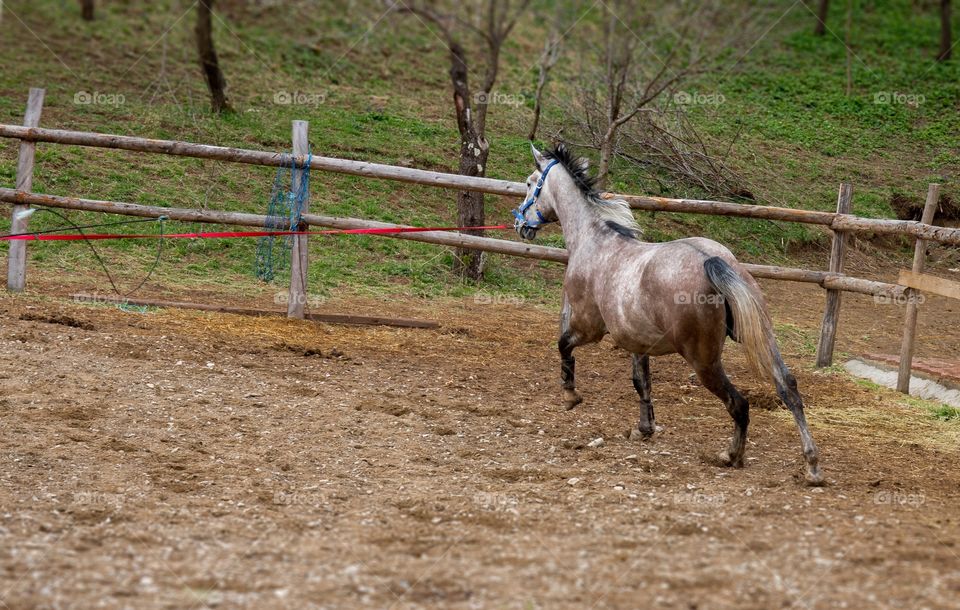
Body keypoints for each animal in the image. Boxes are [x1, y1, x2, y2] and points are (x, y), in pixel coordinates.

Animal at [512, 144, 823, 485]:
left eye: (529, 183)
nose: (520, 224)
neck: (593, 241)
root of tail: (712, 260)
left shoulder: (588, 328)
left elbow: (563, 346)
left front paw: (571, 396)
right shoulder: (637, 342)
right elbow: (641, 382)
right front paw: (644, 429)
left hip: (703, 361)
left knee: (739, 403)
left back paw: (732, 456)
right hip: (760, 336)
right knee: (788, 386)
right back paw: (812, 466)